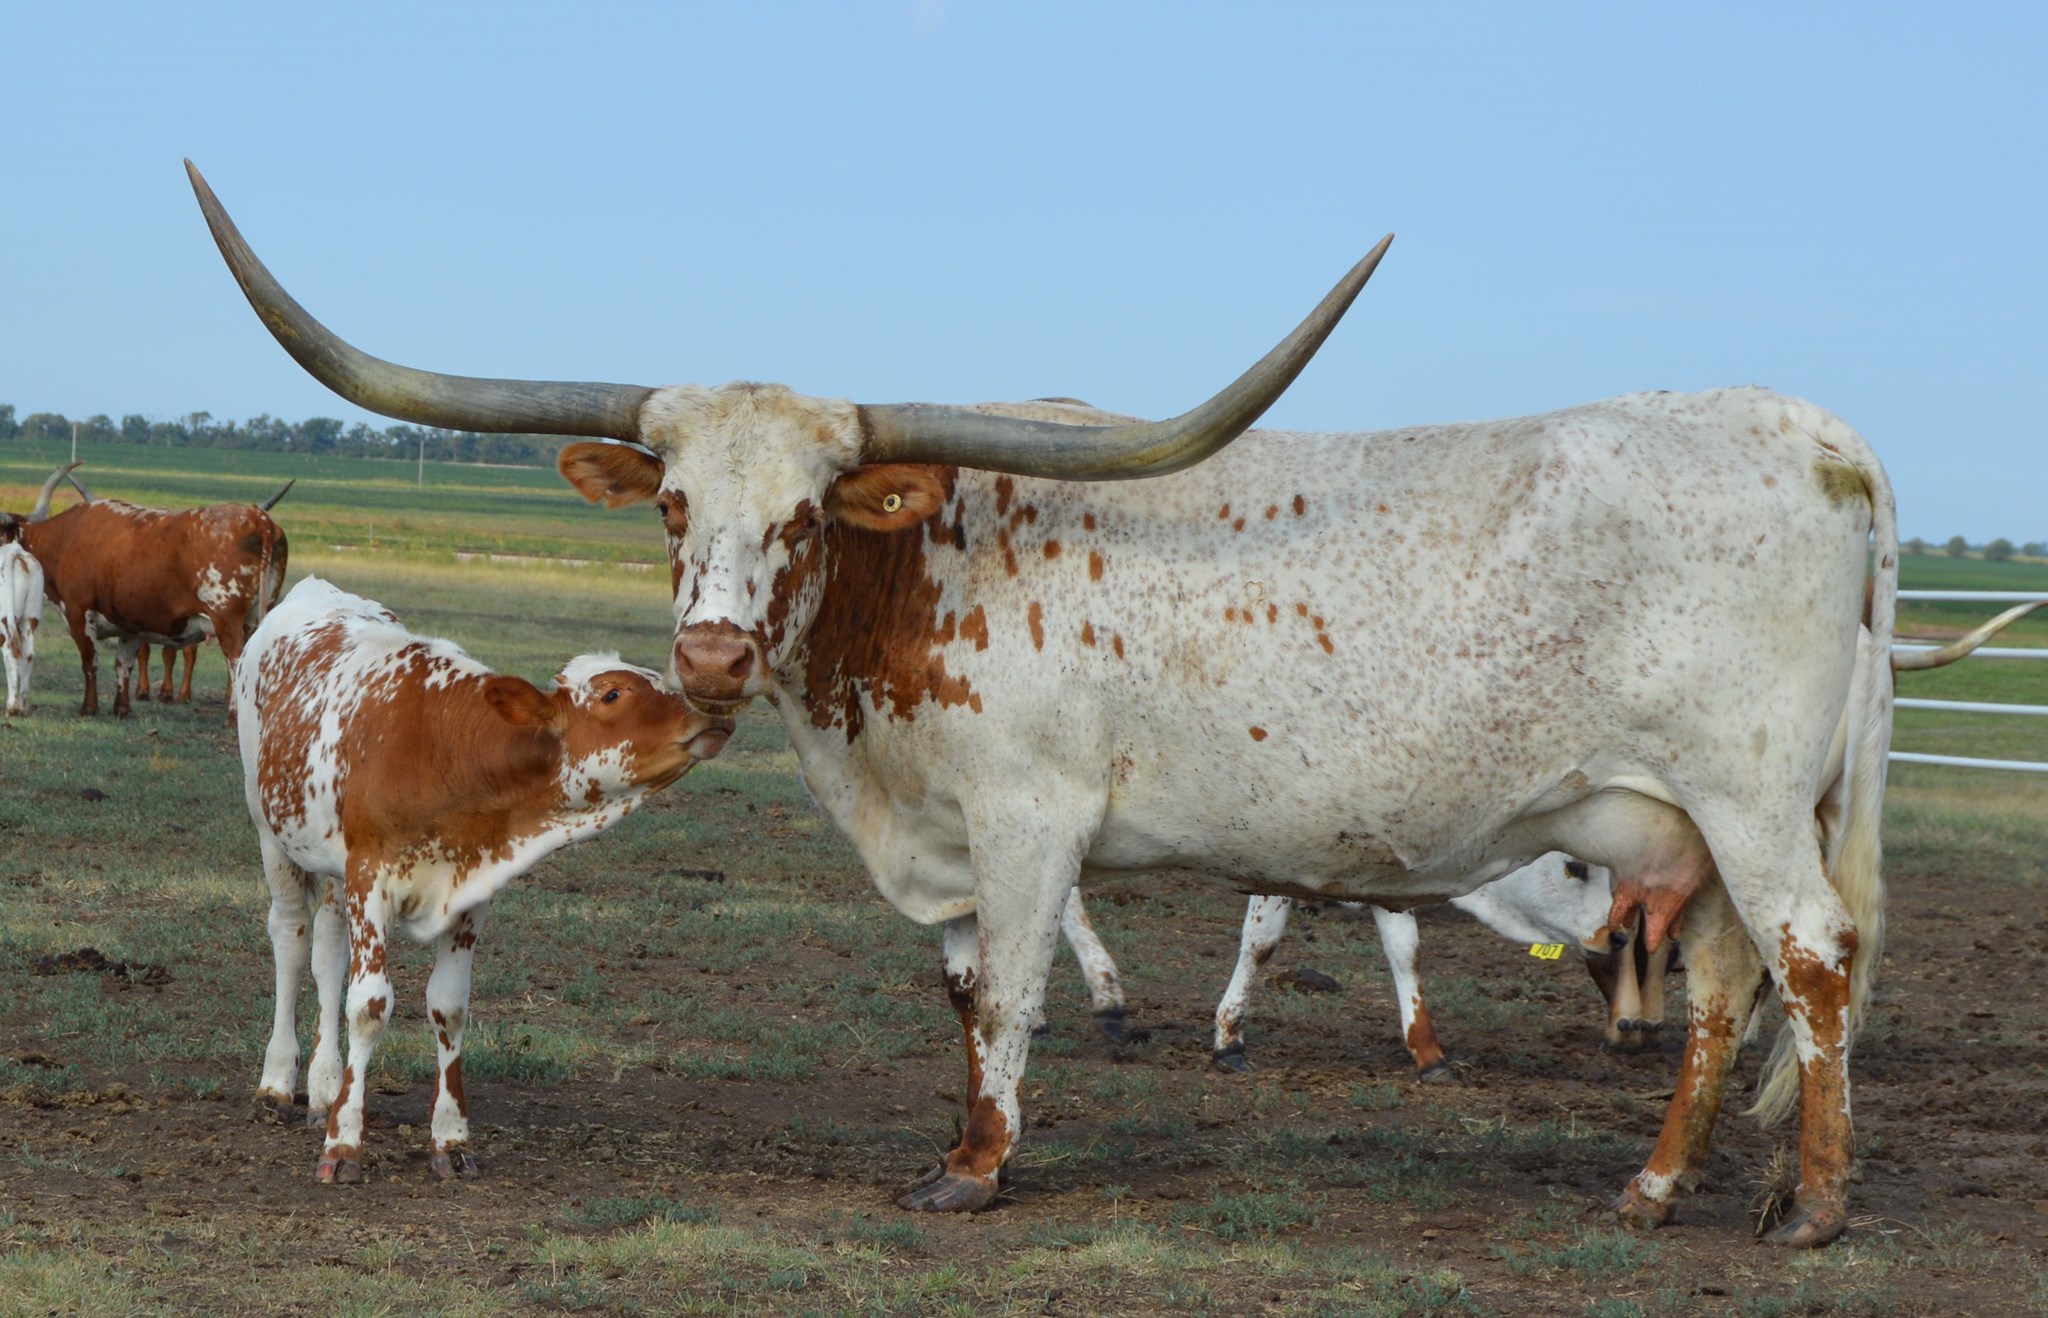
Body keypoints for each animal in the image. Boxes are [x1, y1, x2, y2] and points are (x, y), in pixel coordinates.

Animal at [237, 576, 735, 1183]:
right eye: (613, 694)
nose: (710, 710)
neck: (444, 752)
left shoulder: (468, 895)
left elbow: (448, 1007)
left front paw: (449, 1139)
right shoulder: (369, 879)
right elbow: (370, 1006)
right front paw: (344, 1143)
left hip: (330, 863)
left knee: (327, 955)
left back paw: (325, 1086)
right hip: (270, 830)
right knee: (291, 940)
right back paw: (277, 1084)